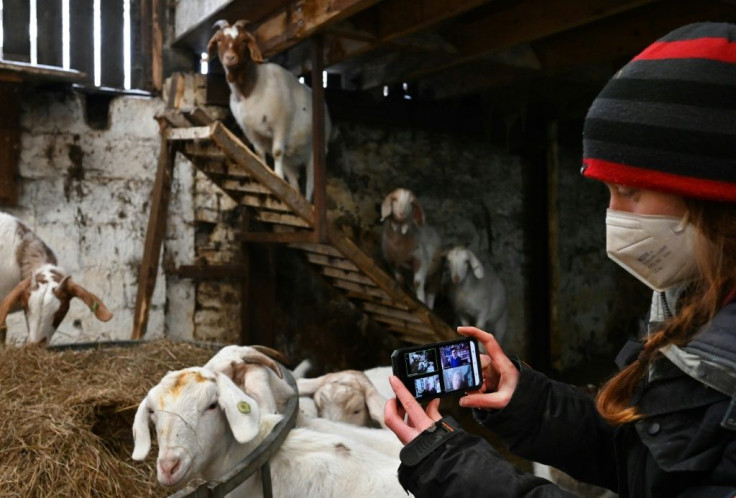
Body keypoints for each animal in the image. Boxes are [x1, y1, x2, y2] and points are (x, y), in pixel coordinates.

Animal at [208, 19, 332, 202]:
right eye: (218, 40)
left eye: (244, 40)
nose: (230, 58)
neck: (250, 90)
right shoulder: (250, 131)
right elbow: (259, 154)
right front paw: (266, 172)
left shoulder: (281, 123)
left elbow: (277, 151)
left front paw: (277, 177)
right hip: (291, 161)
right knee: (294, 180)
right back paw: (295, 192)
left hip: (317, 151)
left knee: (311, 184)